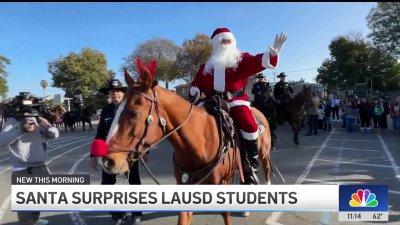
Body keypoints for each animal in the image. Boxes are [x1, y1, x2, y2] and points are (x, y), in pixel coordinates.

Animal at [102, 65, 272, 225]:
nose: (108, 161)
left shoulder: (222, 182)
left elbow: (225, 215)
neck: (198, 142)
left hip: (263, 154)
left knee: (265, 169)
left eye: (134, 113)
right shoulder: (186, 184)